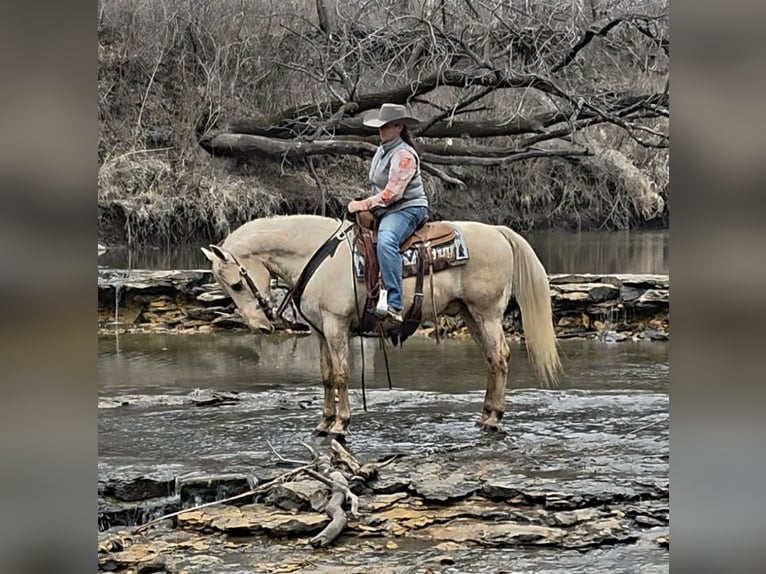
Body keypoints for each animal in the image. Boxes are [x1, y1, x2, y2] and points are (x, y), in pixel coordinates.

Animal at [202, 216, 564, 436]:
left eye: (236, 283)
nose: (260, 327)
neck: (317, 256)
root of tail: (499, 231)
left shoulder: (336, 326)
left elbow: (341, 374)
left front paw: (340, 424)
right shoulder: (320, 331)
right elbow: (325, 375)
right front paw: (323, 422)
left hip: (486, 313)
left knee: (500, 356)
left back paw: (494, 418)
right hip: (471, 314)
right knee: (492, 359)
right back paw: (485, 415)